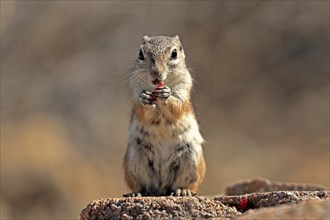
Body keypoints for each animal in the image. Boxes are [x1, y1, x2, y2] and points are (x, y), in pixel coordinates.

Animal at [122, 35, 205, 196]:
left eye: (174, 54)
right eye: (141, 53)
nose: (156, 74)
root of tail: (161, 189)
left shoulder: (184, 86)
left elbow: (177, 106)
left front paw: (166, 95)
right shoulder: (136, 88)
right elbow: (141, 110)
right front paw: (145, 100)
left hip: (192, 158)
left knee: (187, 185)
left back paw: (183, 191)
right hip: (135, 157)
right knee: (143, 186)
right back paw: (138, 193)